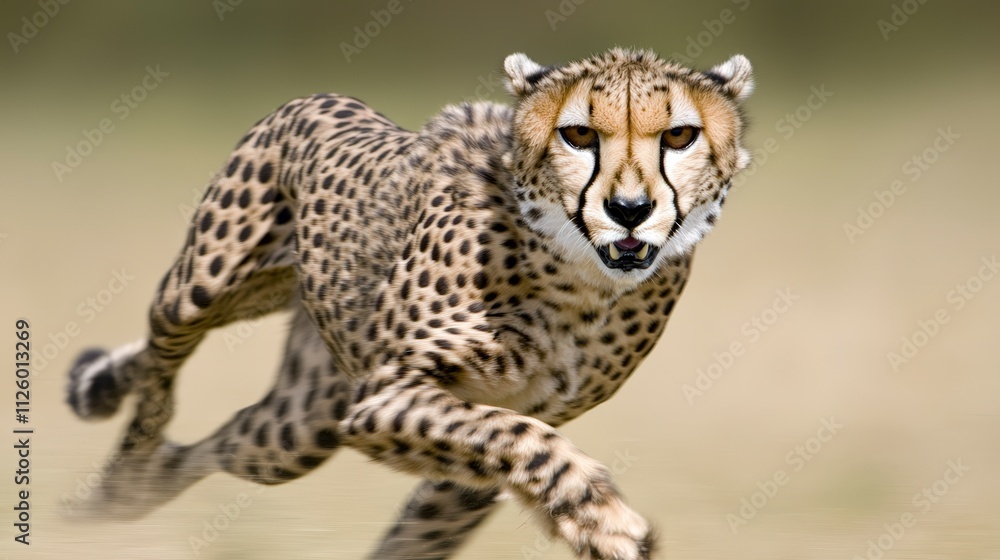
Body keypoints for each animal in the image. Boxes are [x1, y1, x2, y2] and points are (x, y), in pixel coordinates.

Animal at [65, 47, 754, 559]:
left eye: (680, 136)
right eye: (579, 134)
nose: (629, 210)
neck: (578, 279)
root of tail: (324, 98)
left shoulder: (460, 435)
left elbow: (451, 504)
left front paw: (592, 524)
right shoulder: (387, 396)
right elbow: (521, 437)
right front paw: (603, 518)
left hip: (299, 425)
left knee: (220, 440)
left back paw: (134, 488)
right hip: (200, 291)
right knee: (160, 365)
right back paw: (122, 473)